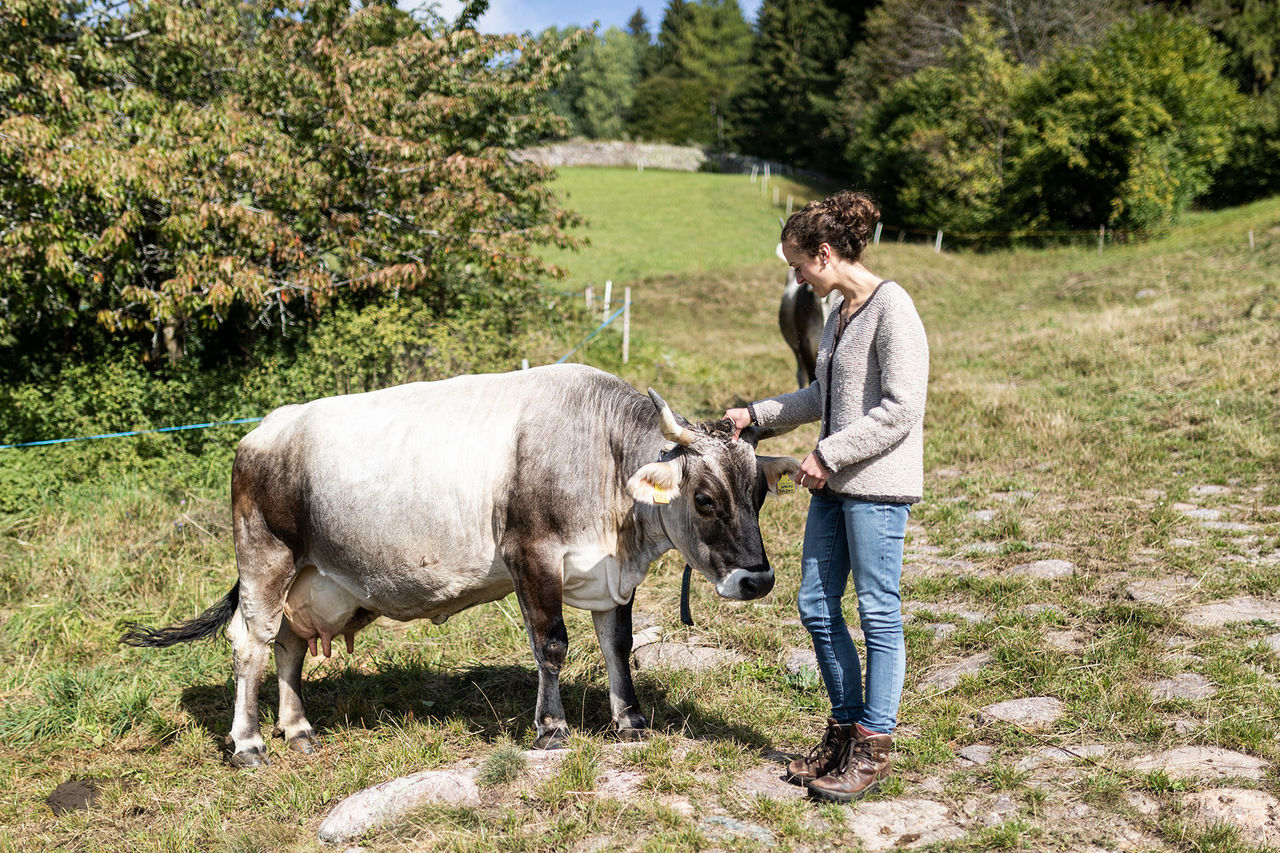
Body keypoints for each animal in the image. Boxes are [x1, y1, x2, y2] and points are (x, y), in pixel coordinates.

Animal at [122, 361, 798, 763]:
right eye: (705, 498)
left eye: (760, 493)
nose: (758, 578)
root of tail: (260, 432)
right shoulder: (532, 556)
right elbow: (552, 645)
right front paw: (551, 729)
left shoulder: (608, 577)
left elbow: (617, 646)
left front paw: (629, 720)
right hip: (265, 559)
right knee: (251, 645)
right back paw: (249, 743)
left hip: (315, 580)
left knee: (288, 646)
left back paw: (299, 730)